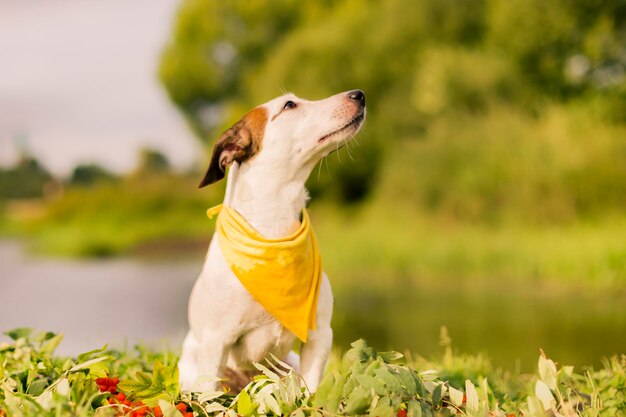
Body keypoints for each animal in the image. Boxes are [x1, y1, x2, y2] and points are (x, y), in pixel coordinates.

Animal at [177, 89, 366, 392]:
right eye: (289, 105)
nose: (359, 94)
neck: (275, 233)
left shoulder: (319, 337)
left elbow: (312, 392)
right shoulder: (215, 342)